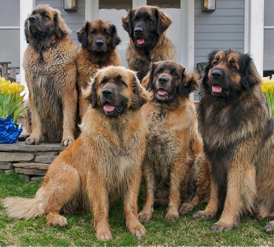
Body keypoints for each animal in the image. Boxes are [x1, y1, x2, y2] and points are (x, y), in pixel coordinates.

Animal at [1, 65, 151, 241]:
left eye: (121, 82)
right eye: (103, 82)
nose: (106, 92)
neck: (116, 129)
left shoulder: (132, 172)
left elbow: (130, 204)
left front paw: (134, 225)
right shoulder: (97, 174)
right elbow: (101, 206)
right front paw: (103, 230)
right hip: (71, 175)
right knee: (47, 209)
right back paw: (57, 219)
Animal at [23, 3, 78, 146]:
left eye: (45, 16)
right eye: (33, 13)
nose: (31, 19)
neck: (43, 50)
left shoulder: (67, 92)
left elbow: (67, 118)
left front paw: (67, 138)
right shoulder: (33, 93)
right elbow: (36, 119)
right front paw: (35, 137)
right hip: (25, 102)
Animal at [138, 59, 209, 222]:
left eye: (175, 73)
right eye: (159, 71)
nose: (163, 80)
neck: (163, 112)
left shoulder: (177, 158)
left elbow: (174, 190)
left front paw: (172, 213)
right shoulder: (148, 159)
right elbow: (149, 190)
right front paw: (146, 212)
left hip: (200, 162)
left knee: (196, 196)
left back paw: (186, 206)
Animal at [193, 49, 274, 233]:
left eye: (233, 65)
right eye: (215, 62)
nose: (215, 74)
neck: (224, 109)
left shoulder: (239, 164)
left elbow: (232, 194)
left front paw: (225, 221)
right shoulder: (215, 161)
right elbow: (215, 191)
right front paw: (209, 211)